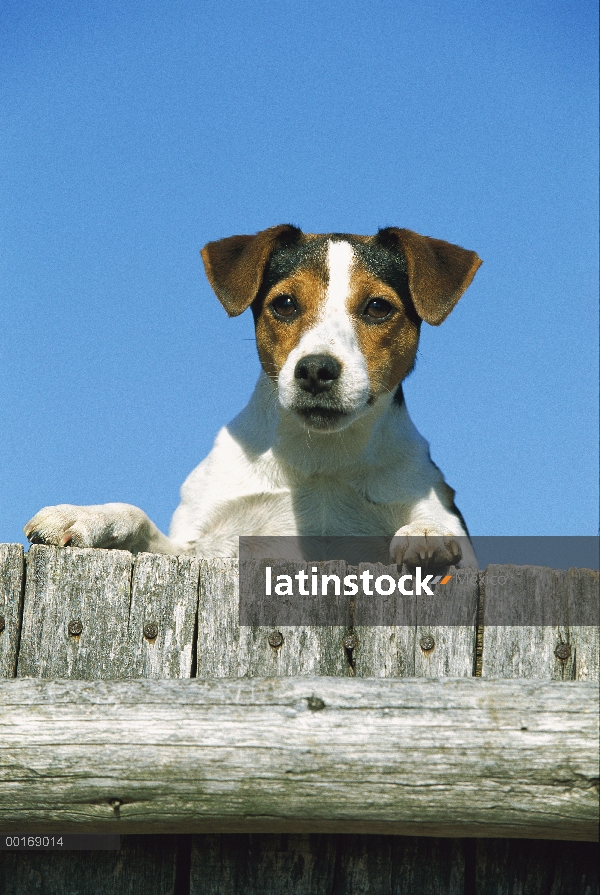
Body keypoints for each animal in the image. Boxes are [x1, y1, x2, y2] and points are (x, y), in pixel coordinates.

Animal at [24, 228, 482, 572]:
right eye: (285, 303)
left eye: (377, 307)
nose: (315, 370)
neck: (321, 457)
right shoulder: (203, 548)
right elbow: (139, 519)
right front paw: (88, 515)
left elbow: (437, 529)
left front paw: (427, 533)